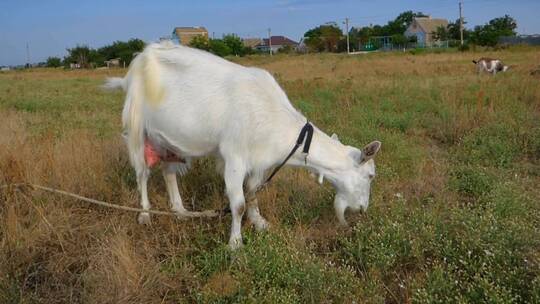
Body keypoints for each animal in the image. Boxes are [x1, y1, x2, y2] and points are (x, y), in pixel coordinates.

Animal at [105, 41, 382, 248]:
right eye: (370, 175)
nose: (362, 210)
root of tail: (139, 60)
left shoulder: (260, 161)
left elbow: (253, 193)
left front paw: (260, 223)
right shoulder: (234, 157)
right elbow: (238, 204)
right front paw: (235, 244)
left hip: (169, 140)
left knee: (168, 171)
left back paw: (181, 211)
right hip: (137, 127)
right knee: (142, 173)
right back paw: (145, 214)